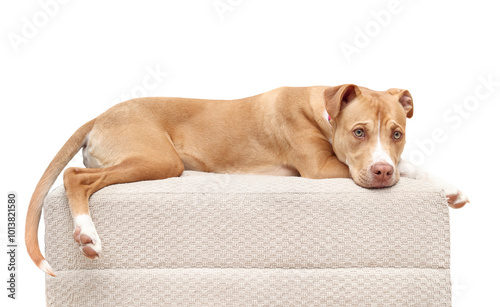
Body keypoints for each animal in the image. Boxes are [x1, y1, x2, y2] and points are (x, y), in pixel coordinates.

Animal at [24, 84, 468, 276]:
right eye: (359, 132)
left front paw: (448, 187)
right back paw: (87, 233)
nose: (381, 172)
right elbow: (407, 166)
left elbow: (411, 162)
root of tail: (100, 115)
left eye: (397, 133)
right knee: (75, 176)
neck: (322, 107)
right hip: (159, 160)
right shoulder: (321, 168)